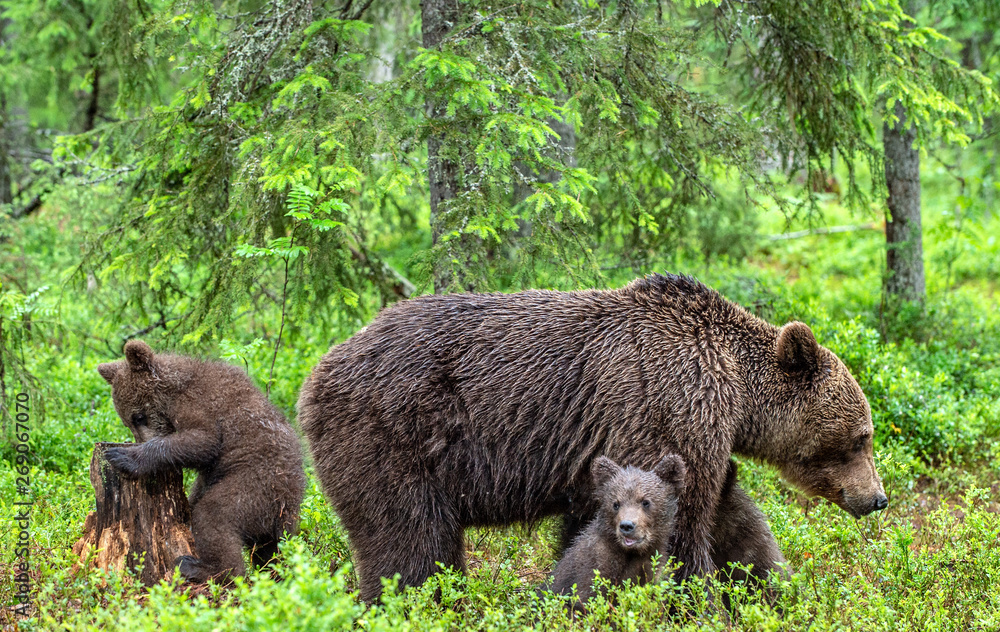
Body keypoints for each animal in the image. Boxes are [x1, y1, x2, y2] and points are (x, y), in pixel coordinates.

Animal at [294, 274, 884, 600]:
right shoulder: (668, 407)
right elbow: (683, 529)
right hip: (393, 437)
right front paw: (700, 602)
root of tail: (314, 373)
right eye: (861, 437)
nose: (876, 498)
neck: (735, 397)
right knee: (410, 544)